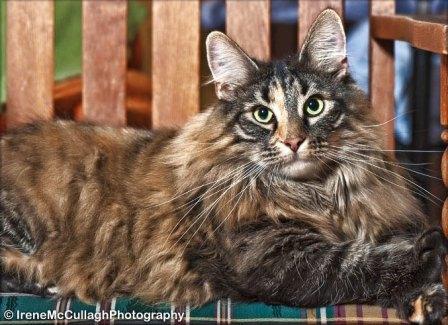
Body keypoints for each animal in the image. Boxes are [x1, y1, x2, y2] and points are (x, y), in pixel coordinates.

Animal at [0, 8, 448, 322]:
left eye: (314, 106)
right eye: (262, 115)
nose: (293, 142)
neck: (318, 192)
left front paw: (429, 299)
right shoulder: (275, 260)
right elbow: (357, 265)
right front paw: (429, 254)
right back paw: (47, 280)